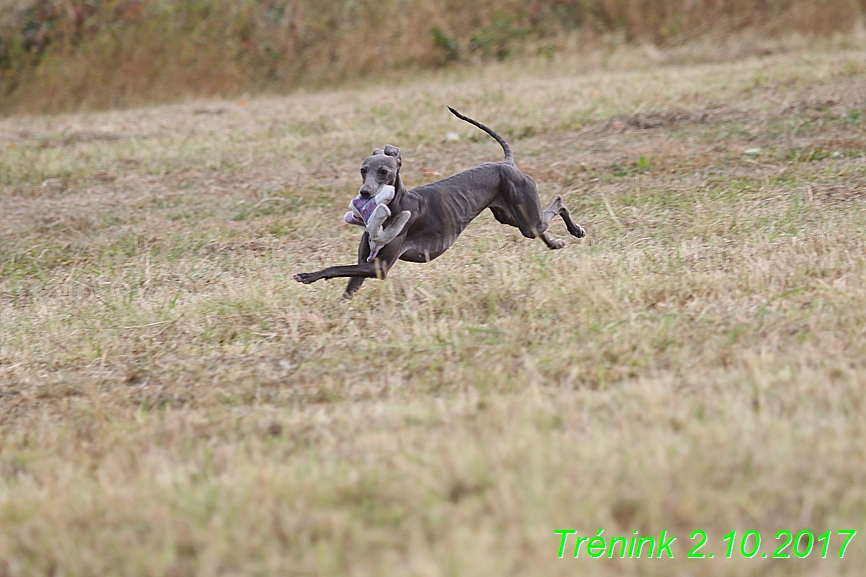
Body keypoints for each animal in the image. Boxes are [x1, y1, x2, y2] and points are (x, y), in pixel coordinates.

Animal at [294, 107, 584, 296]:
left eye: (384, 171)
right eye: (363, 170)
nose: (365, 193)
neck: (397, 205)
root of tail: (507, 163)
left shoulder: (379, 267)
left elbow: (336, 267)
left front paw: (307, 275)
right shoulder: (365, 265)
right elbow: (347, 287)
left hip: (524, 212)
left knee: (558, 202)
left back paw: (576, 230)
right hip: (511, 216)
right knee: (540, 225)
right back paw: (556, 242)